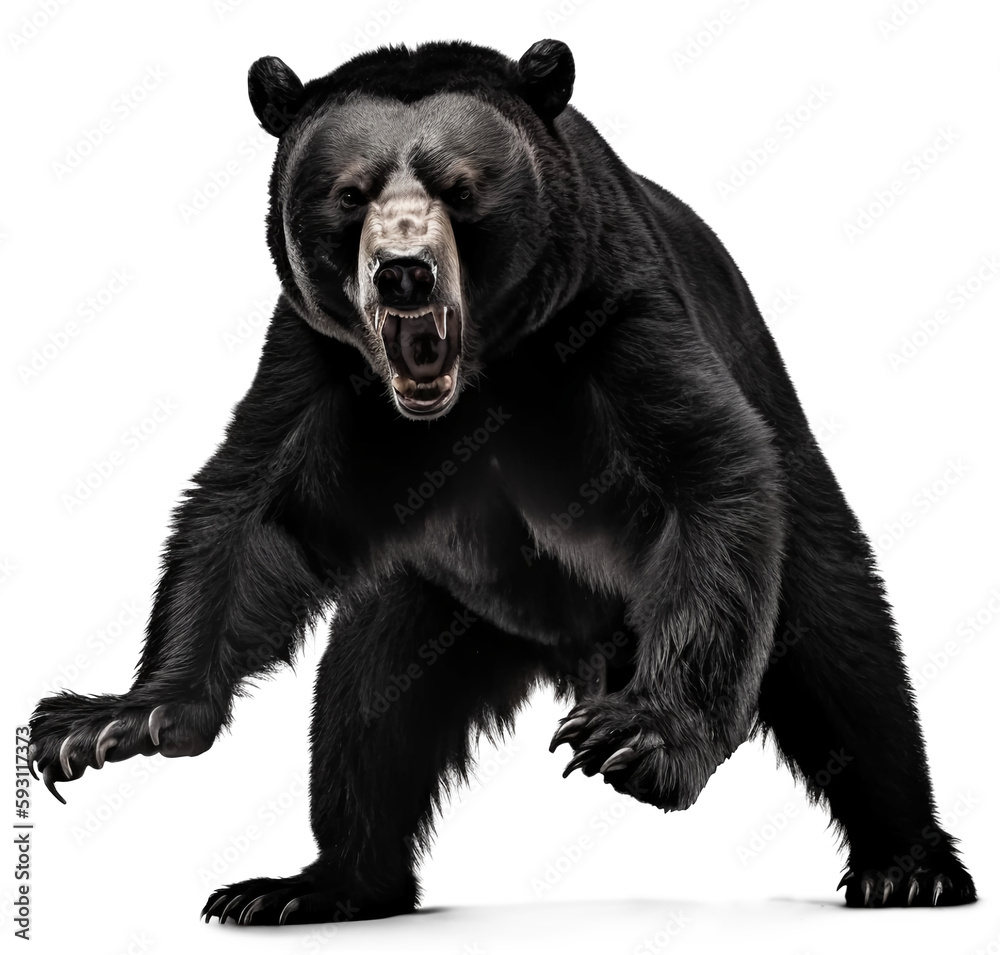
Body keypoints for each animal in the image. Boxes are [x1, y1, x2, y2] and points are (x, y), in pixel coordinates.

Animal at [29, 39, 976, 924]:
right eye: (350, 192)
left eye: (460, 186)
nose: (403, 268)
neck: (483, 374)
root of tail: (575, 650)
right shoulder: (321, 364)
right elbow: (254, 513)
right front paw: (108, 720)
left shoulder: (611, 314)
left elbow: (705, 474)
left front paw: (639, 738)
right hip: (437, 608)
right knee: (364, 713)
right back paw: (312, 884)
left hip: (793, 516)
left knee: (852, 664)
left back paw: (910, 864)